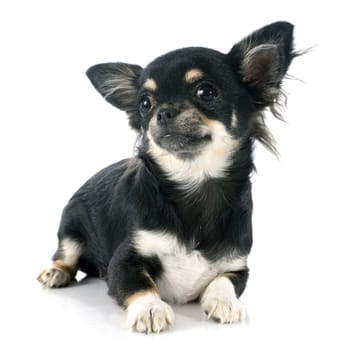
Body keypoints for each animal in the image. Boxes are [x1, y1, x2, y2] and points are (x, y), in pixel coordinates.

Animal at [37, 21, 298, 334]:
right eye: (145, 104)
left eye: (206, 92)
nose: (162, 113)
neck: (195, 184)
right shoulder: (123, 262)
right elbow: (140, 284)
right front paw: (150, 308)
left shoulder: (237, 265)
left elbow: (224, 280)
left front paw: (225, 301)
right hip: (71, 226)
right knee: (65, 254)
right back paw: (55, 272)